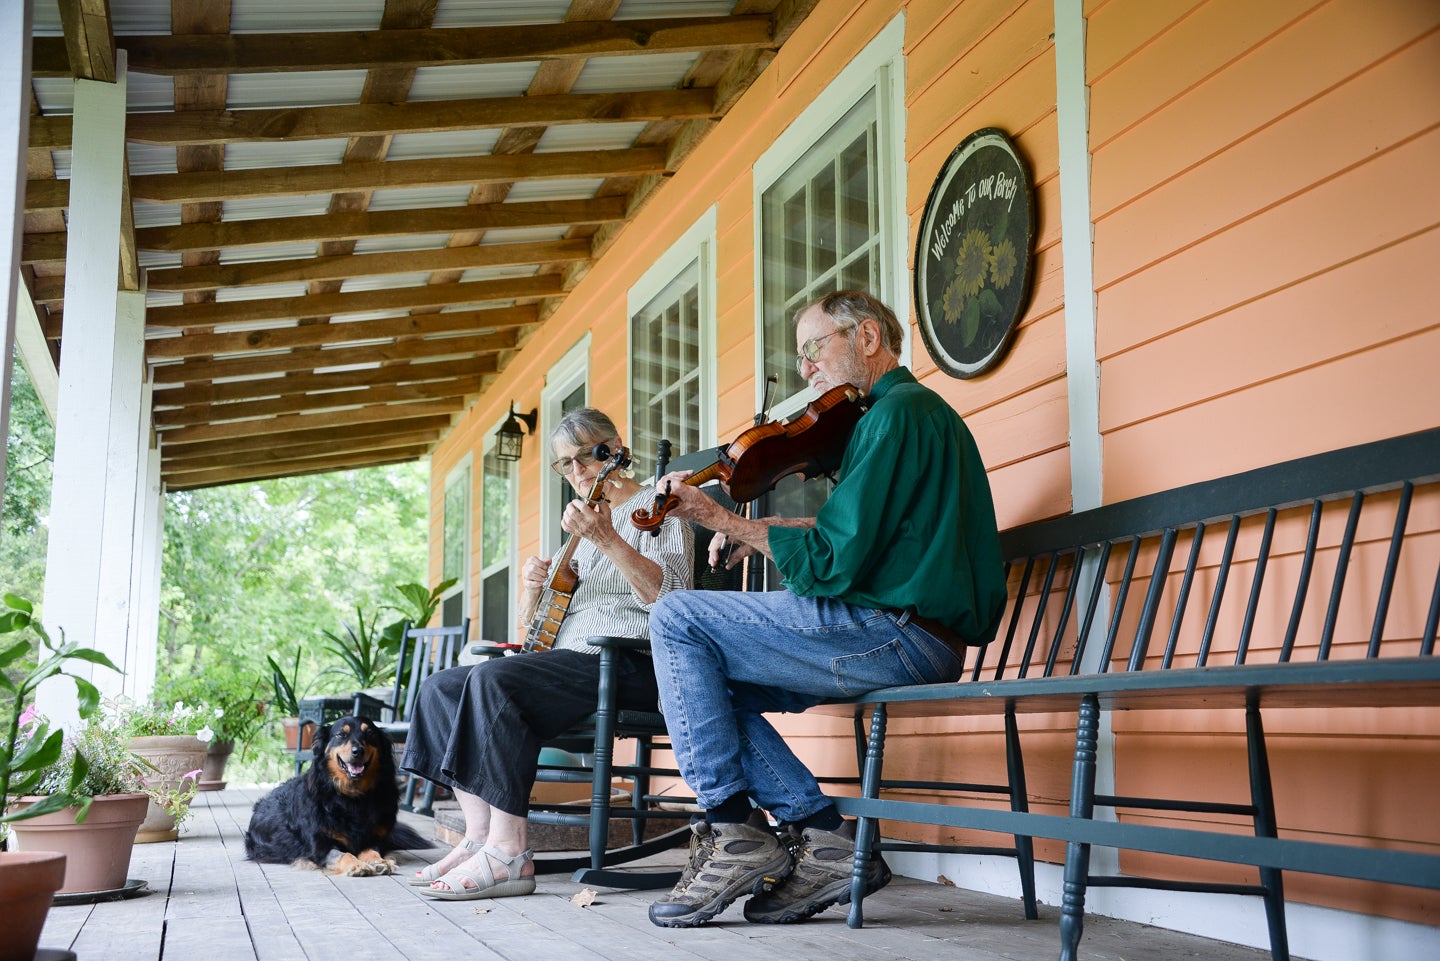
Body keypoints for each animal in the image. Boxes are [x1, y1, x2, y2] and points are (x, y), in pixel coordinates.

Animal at [241, 714, 429, 881]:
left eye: (370, 734)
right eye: (340, 735)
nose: (358, 751)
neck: (353, 797)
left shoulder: (373, 839)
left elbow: (371, 851)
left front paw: (380, 862)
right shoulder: (320, 847)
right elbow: (343, 854)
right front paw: (357, 865)